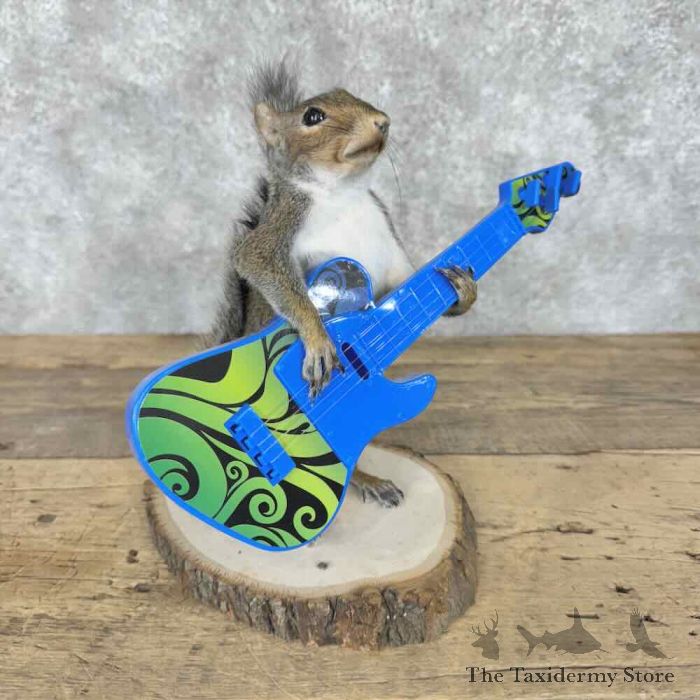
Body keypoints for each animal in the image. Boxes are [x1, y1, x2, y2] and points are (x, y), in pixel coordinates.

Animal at [207, 61, 477, 508]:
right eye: (312, 116)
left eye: (351, 93)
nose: (382, 121)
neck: (344, 193)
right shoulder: (275, 233)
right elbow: (259, 264)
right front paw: (318, 338)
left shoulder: (389, 248)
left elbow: (407, 286)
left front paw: (462, 290)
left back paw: (369, 479)